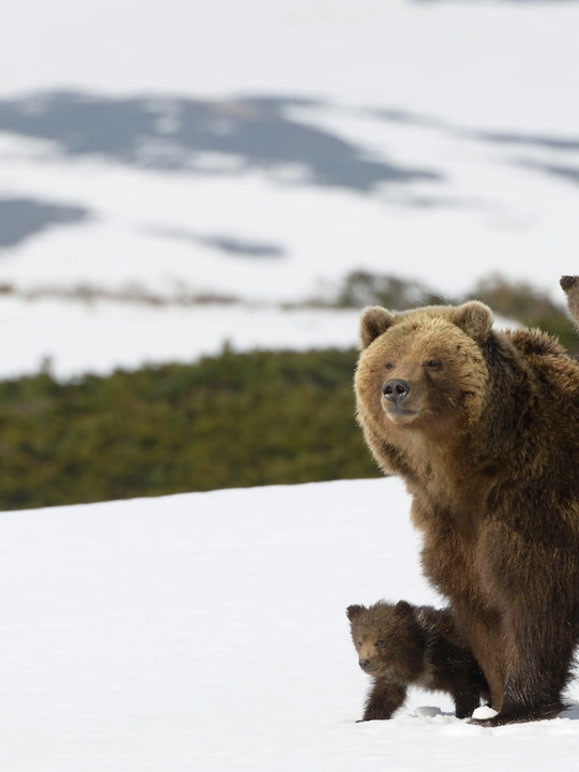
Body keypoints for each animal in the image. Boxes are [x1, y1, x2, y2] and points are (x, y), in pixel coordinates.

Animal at [347, 600, 490, 721]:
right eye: (359, 642)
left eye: (380, 641)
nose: (364, 662)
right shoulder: (392, 675)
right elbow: (386, 696)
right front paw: (367, 718)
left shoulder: (457, 661)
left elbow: (465, 691)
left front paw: (464, 715)